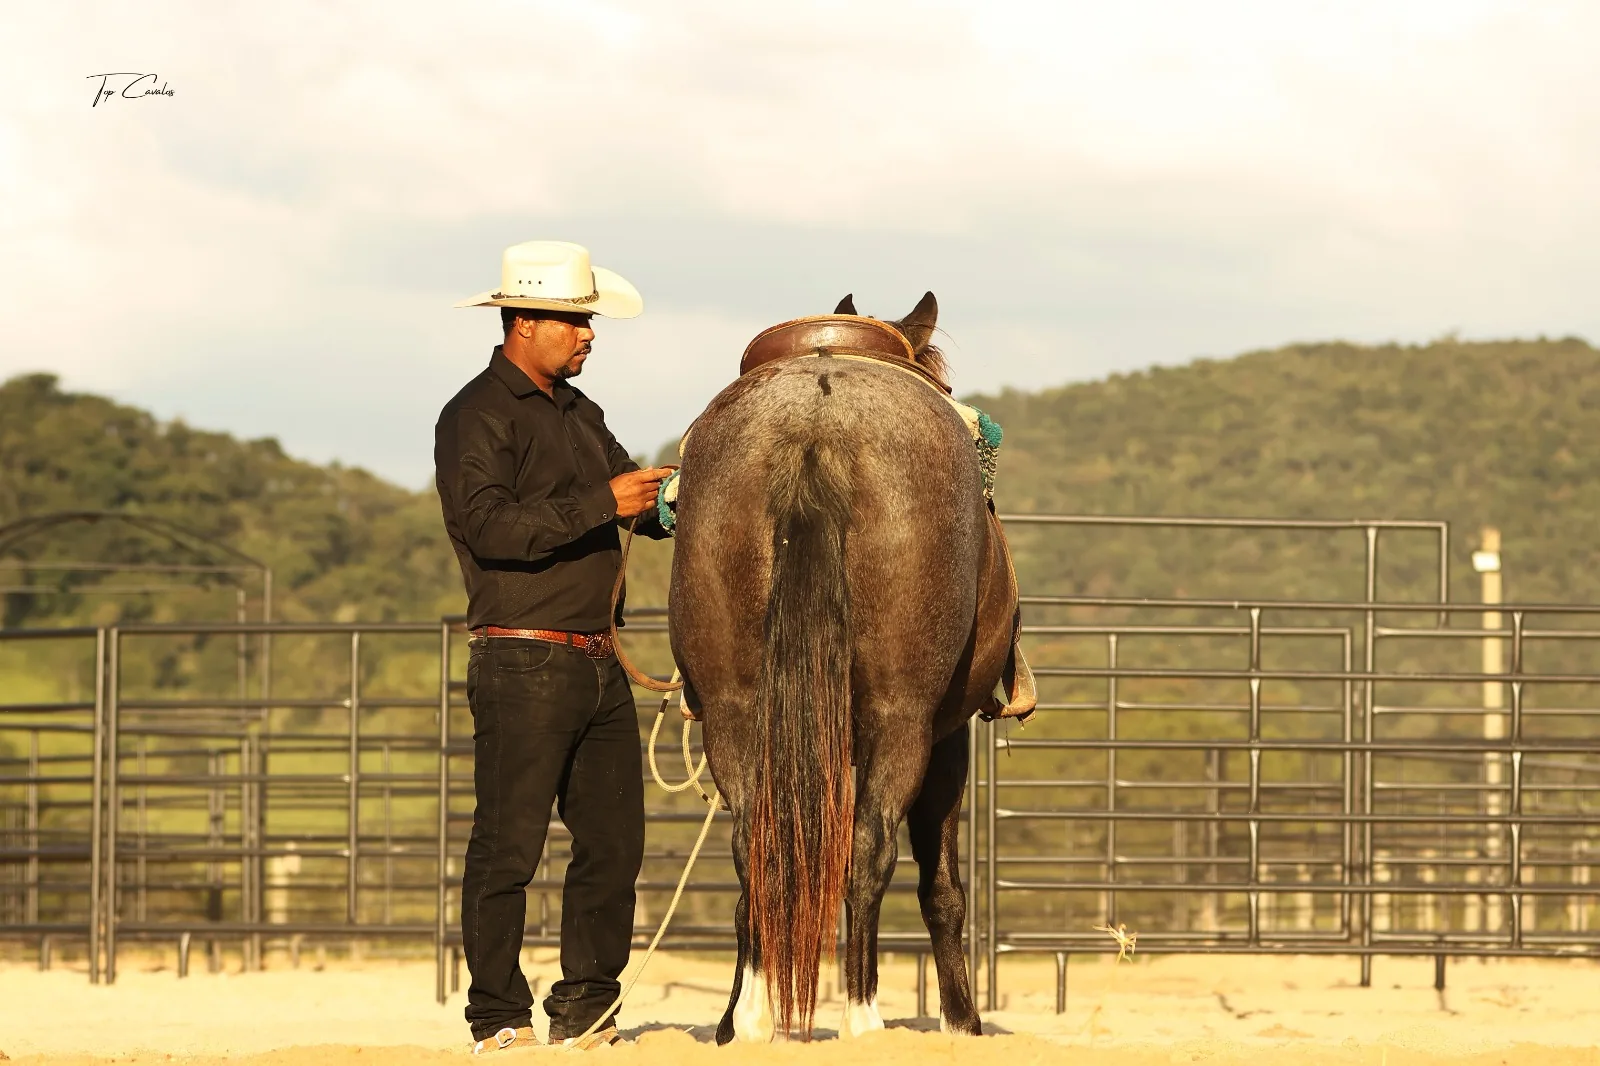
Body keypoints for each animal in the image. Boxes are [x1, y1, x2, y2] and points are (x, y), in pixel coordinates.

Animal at [667, 292, 1022, 1042]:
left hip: (735, 713)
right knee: (869, 848)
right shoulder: (947, 739)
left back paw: (752, 1017)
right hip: (900, 720)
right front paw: (962, 1020)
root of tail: (815, 426)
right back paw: (863, 1015)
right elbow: (941, 887)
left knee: (754, 844)